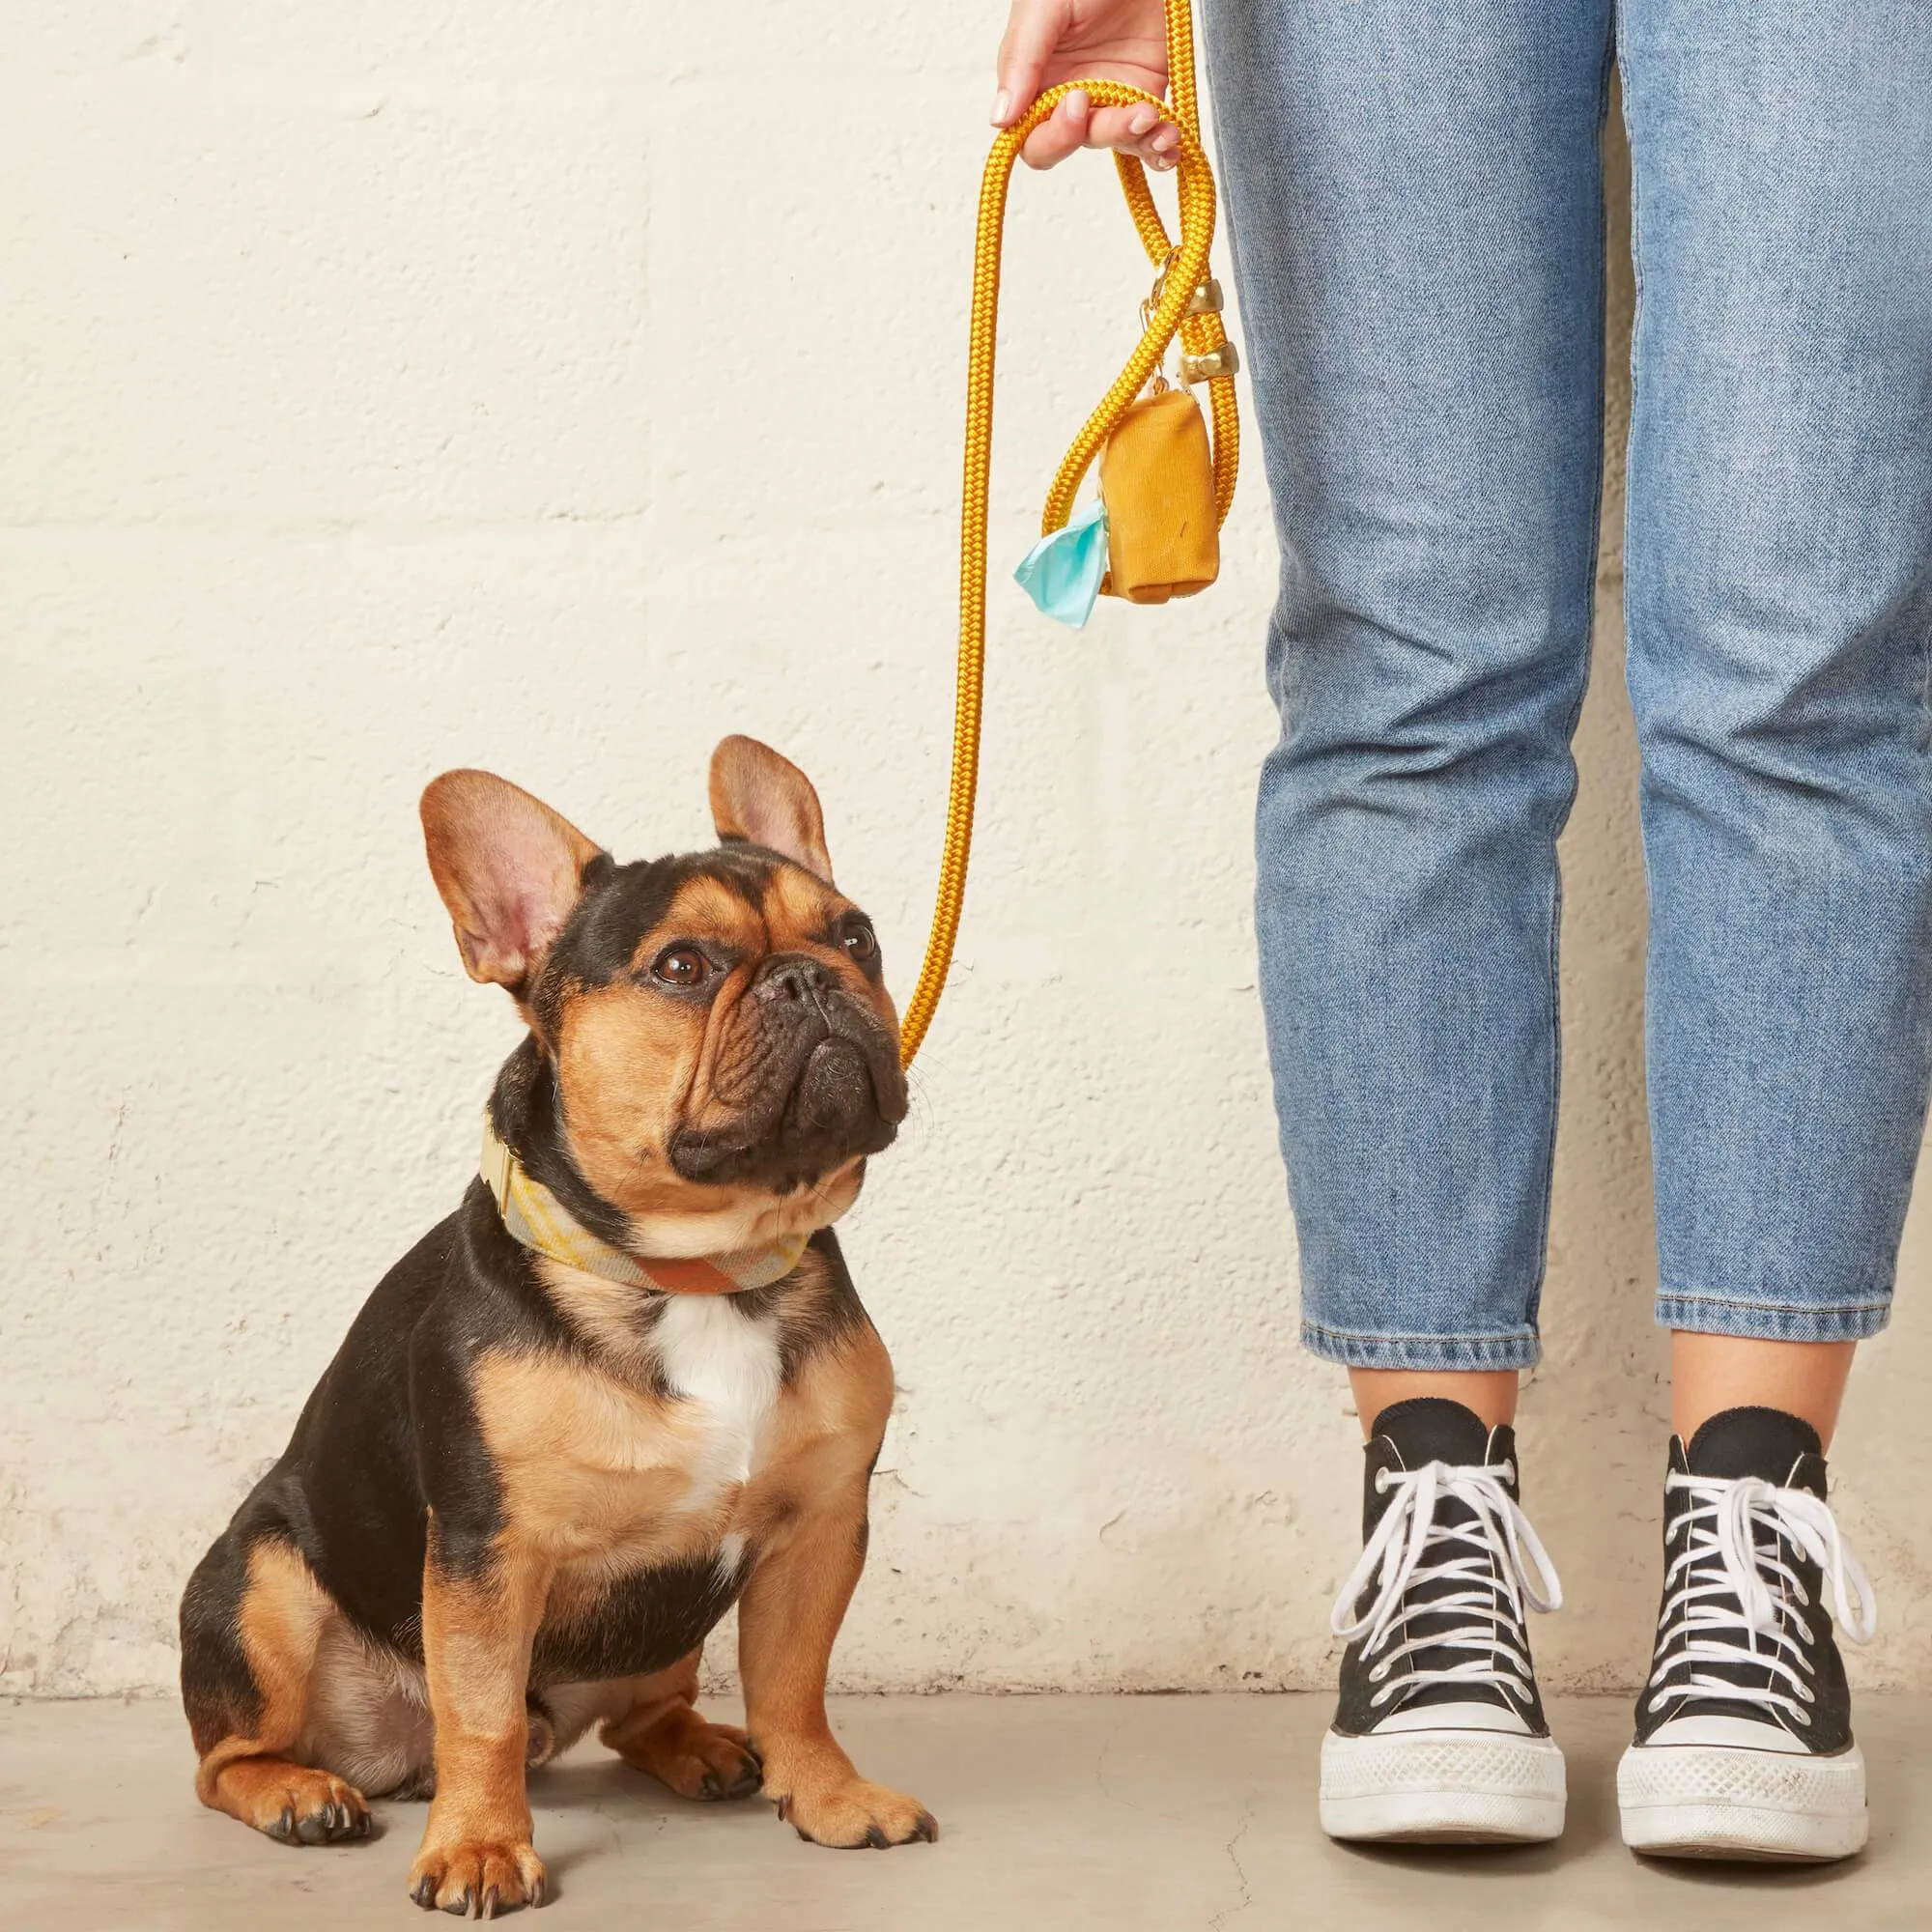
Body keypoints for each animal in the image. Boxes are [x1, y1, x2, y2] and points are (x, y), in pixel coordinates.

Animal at [182, 730, 935, 1909]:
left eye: (856, 934)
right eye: (683, 966)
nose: (810, 974)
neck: (701, 1272)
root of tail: (390, 1758)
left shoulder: (819, 1525)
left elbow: (794, 1681)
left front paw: (826, 1794)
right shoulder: (491, 1549)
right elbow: (483, 1713)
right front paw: (482, 1846)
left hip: (662, 1638)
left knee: (643, 1712)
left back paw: (700, 1745)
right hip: (257, 1585)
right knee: (231, 1759)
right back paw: (299, 1791)